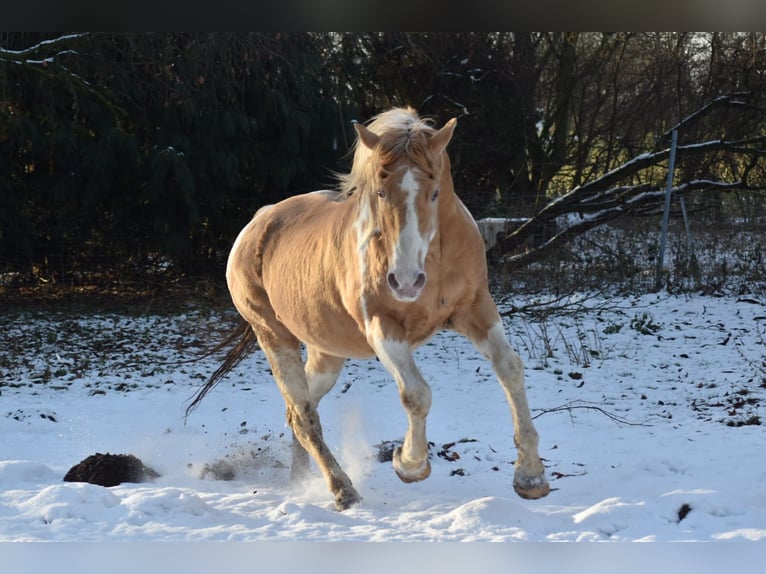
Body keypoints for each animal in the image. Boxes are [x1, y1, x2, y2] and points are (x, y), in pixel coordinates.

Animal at [187, 107, 550, 511]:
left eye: (435, 192)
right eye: (380, 192)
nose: (406, 282)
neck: (435, 259)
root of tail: (257, 222)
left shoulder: (475, 310)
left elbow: (510, 369)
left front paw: (531, 477)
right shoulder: (382, 326)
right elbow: (416, 393)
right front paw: (409, 464)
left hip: (327, 353)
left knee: (298, 411)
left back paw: (301, 481)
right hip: (275, 339)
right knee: (304, 416)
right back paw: (342, 490)